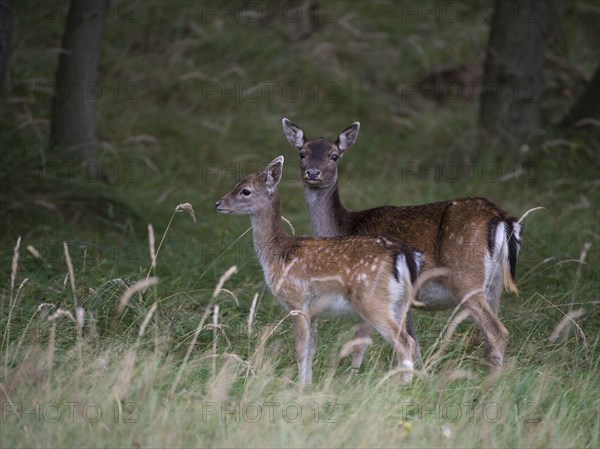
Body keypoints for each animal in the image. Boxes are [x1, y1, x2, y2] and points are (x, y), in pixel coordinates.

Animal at [216, 156, 422, 384]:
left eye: (245, 191)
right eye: (237, 184)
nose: (218, 204)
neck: (278, 253)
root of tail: (403, 254)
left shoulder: (296, 300)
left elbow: (300, 349)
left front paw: (298, 386)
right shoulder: (314, 311)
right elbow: (311, 350)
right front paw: (308, 384)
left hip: (374, 300)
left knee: (405, 342)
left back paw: (403, 385)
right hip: (400, 303)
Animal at [282, 119, 520, 368]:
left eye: (334, 156)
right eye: (302, 153)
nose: (313, 172)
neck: (345, 226)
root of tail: (501, 219)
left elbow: (363, 342)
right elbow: (414, 341)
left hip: (465, 277)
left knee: (497, 331)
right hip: (495, 283)